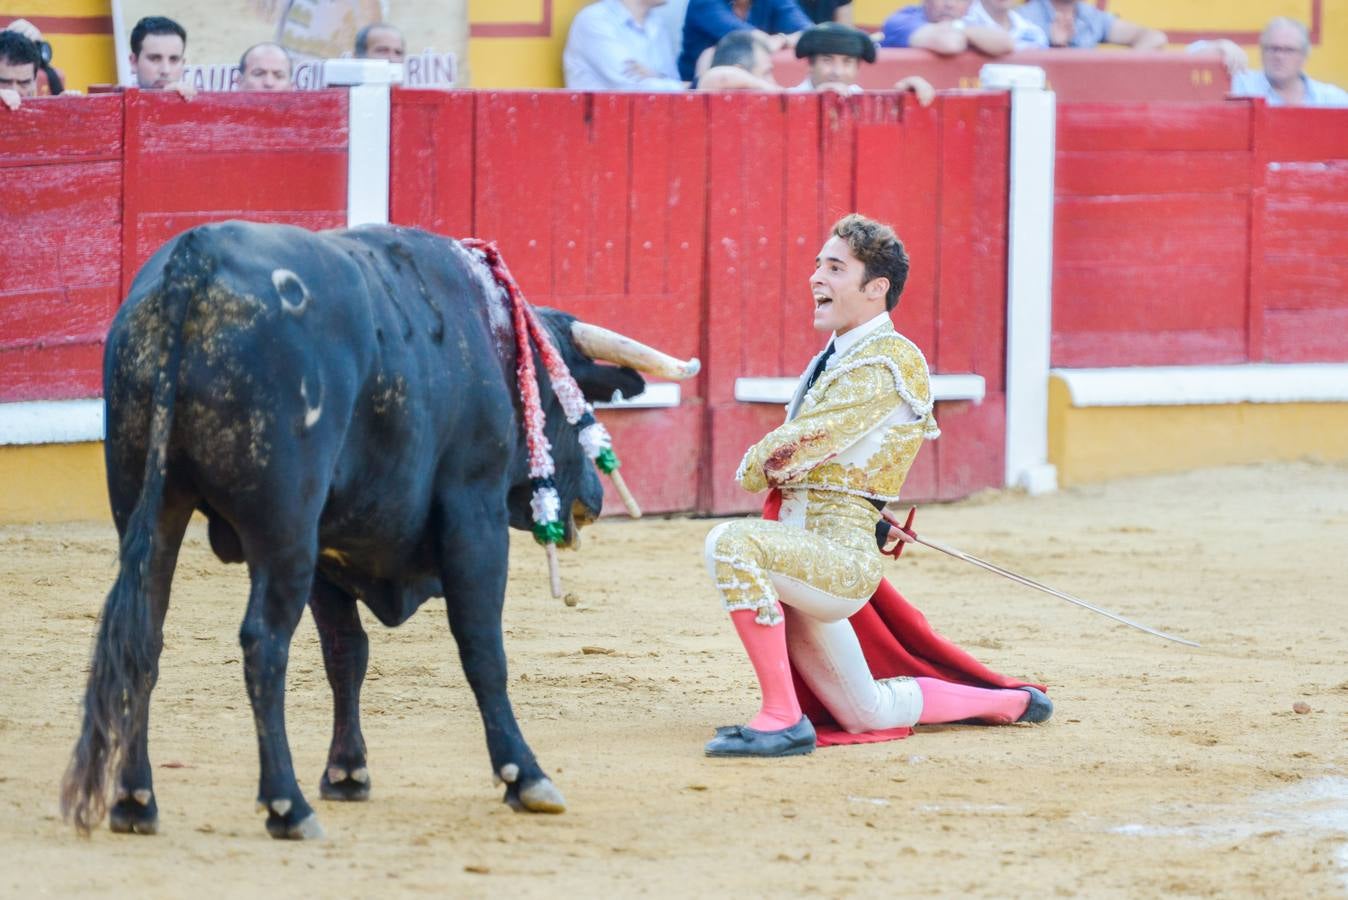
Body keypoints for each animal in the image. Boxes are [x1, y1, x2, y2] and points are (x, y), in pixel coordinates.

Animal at [62, 220, 674, 840]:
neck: (495, 342)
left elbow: (346, 653)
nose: (594, 500)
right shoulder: (472, 513)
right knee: (263, 642)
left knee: (143, 635)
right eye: (570, 395)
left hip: (154, 504)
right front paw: (524, 776)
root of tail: (196, 264)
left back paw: (136, 800)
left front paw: (347, 772)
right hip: (283, 528)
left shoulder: (328, 547)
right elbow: (482, 647)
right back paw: (286, 805)